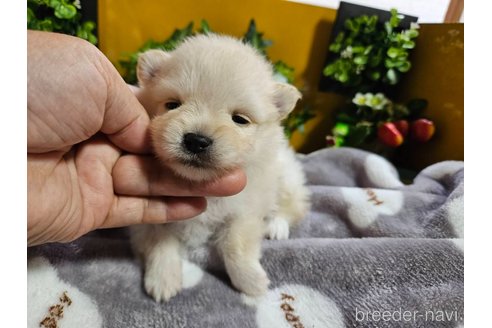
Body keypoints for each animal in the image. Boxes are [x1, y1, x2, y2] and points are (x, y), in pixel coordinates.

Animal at [129, 34, 310, 302]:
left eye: (240, 120)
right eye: (172, 105)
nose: (196, 140)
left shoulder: (245, 210)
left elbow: (236, 245)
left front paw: (250, 282)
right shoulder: (149, 219)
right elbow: (160, 243)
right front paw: (163, 280)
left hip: (287, 178)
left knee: (292, 207)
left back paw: (277, 226)